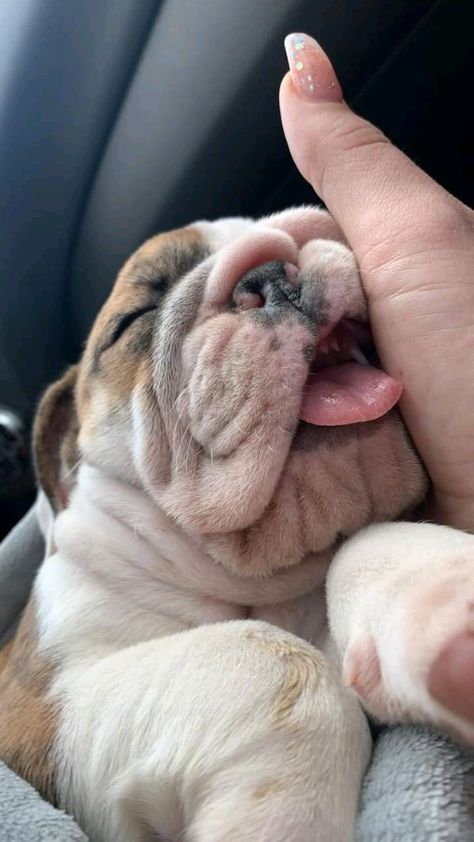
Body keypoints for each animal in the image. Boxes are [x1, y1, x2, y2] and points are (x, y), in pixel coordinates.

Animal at [0, 205, 474, 840]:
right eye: (134, 318)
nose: (271, 271)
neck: (262, 580)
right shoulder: (37, 712)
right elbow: (271, 661)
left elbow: (369, 545)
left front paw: (440, 592)